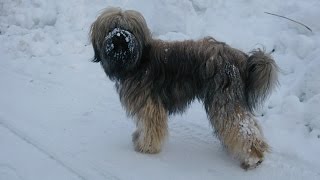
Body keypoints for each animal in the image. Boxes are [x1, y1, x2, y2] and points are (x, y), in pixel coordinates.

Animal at [89, 7, 278, 170]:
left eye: (128, 28)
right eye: (112, 27)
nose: (119, 36)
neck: (137, 61)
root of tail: (237, 57)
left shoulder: (150, 104)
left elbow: (150, 125)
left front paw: (147, 147)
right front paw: (139, 138)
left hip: (224, 99)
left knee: (243, 126)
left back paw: (253, 157)